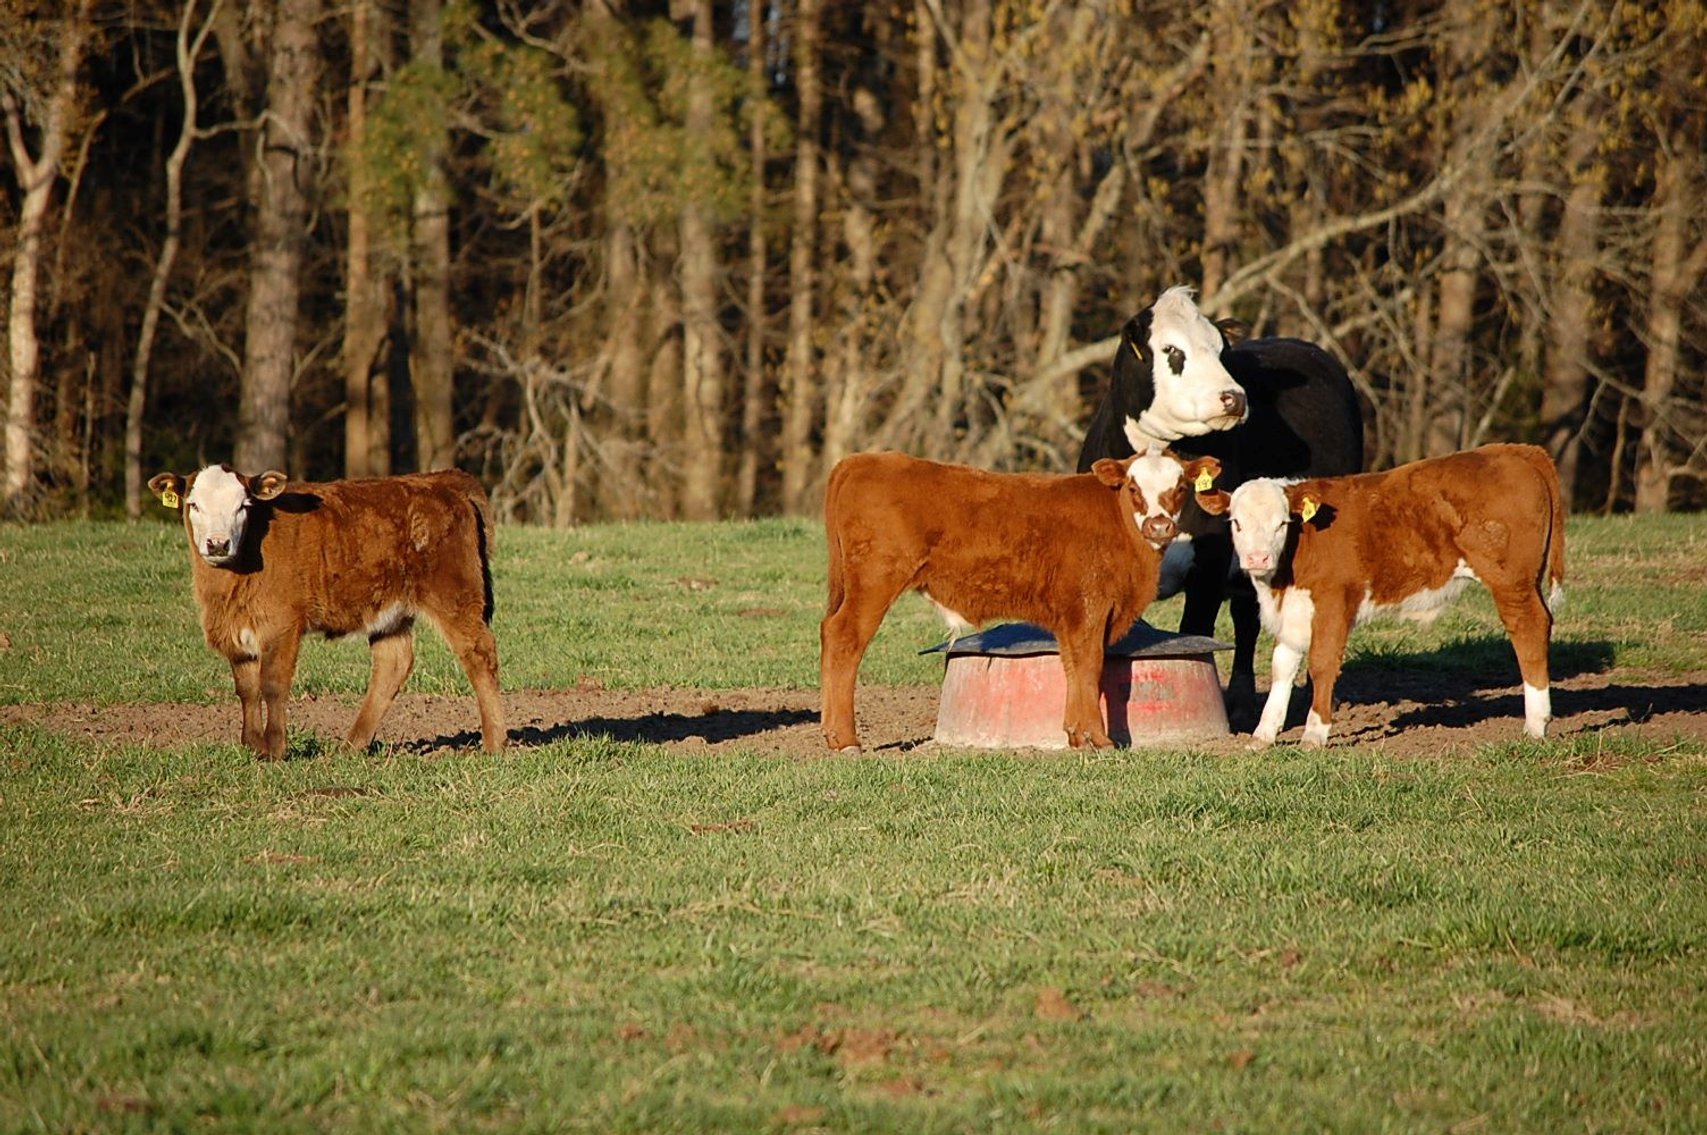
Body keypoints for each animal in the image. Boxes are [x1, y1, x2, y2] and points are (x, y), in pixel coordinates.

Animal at [147, 464, 506, 759]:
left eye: (243, 506)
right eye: (194, 504)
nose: (218, 543)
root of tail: (440, 479)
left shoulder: (281, 625)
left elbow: (272, 684)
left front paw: (274, 749)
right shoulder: (235, 630)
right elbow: (246, 688)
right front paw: (251, 745)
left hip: (455, 596)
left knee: (479, 653)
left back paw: (494, 743)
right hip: (390, 612)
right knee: (393, 663)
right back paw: (351, 745)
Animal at [819, 447, 1222, 752]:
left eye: (1181, 486)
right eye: (1134, 487)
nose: (1159, 525)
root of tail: (864, 459)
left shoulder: (1073, 616)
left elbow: (1073, 666)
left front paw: (1077, 736)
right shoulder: (1091, 607)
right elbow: (1091, 667)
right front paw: (1100, 739)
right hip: (875, 582)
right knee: (844, 639)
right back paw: (845, 740)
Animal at [1076, 286, 1364, 727]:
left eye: (1221, 350)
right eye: (1171, 350)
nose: (1234, 397)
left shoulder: (1210, 564)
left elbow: (1194, 629)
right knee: (1247, 617)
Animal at [1194, 444, 1565, 747]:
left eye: (1282, 523)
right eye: (1236, 522)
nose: (1257, 558)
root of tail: (1514, 450)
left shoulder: (1335, 600)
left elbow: (1322, 662)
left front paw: (1314, 733)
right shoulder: (1293, 611)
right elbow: (1282, 666)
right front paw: (1264, 734)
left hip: (1511, 582)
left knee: (1529, 627)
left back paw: (1536, 724)